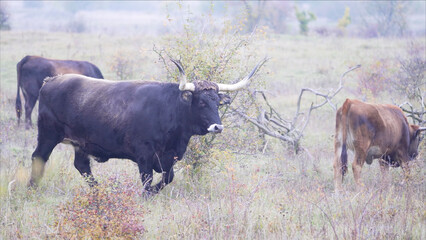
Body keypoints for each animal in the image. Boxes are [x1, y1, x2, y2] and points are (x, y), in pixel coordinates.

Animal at [29, 59, 262, 194]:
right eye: (202, 102)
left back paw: (99, 191)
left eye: (217, 102)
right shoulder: (144, 155)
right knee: (39, 157)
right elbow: (147, 179)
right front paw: (147, 195)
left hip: (80, 144)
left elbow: (168, 178)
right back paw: (32, 187)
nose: (217, 127)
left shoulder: (169, 157)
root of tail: (52, 80)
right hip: (48, 135)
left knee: (82, 166)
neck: (169, 109)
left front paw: (154, 192)